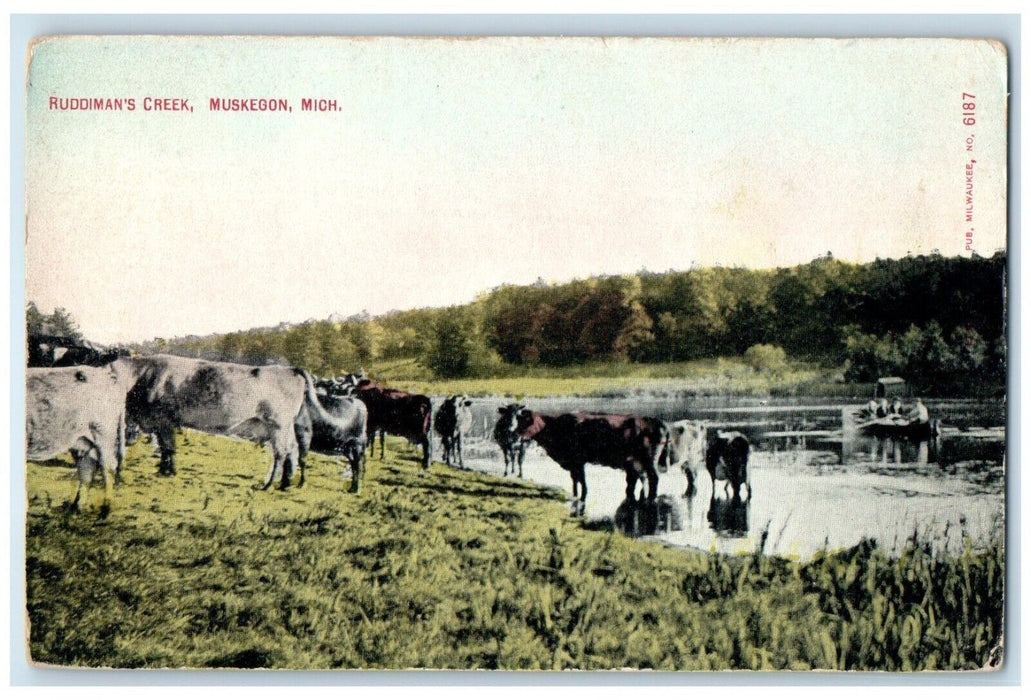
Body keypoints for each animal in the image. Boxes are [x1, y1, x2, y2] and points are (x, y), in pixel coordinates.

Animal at [26, 358, 135, 511]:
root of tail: (107, 376)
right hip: (82, 439)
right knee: (87, 467)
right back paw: (76, 507)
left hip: (103, 432)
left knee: (108, 467)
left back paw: (106, 507)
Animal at [123, 358, 305, 490]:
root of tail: (291, 369)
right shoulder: (162, 424)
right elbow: (164, 448)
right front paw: (163, 470)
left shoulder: (164, 421)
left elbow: (168, 448)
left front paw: (169, 471)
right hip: (283, 428)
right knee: (293, 449)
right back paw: (285, 484)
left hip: (278, 426)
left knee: (281, 453)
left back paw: (268, 485)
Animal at [513, 406, 668, 509]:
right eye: (518, 421)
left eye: (526, 422)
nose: (515, 434)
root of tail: (655, 421)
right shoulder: (573, 462)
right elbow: (575, 479)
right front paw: (575, 494)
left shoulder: (578, 460)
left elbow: (581, 479)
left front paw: (582, 495)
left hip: (649, 460)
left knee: (653, 478)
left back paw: (651, 500)